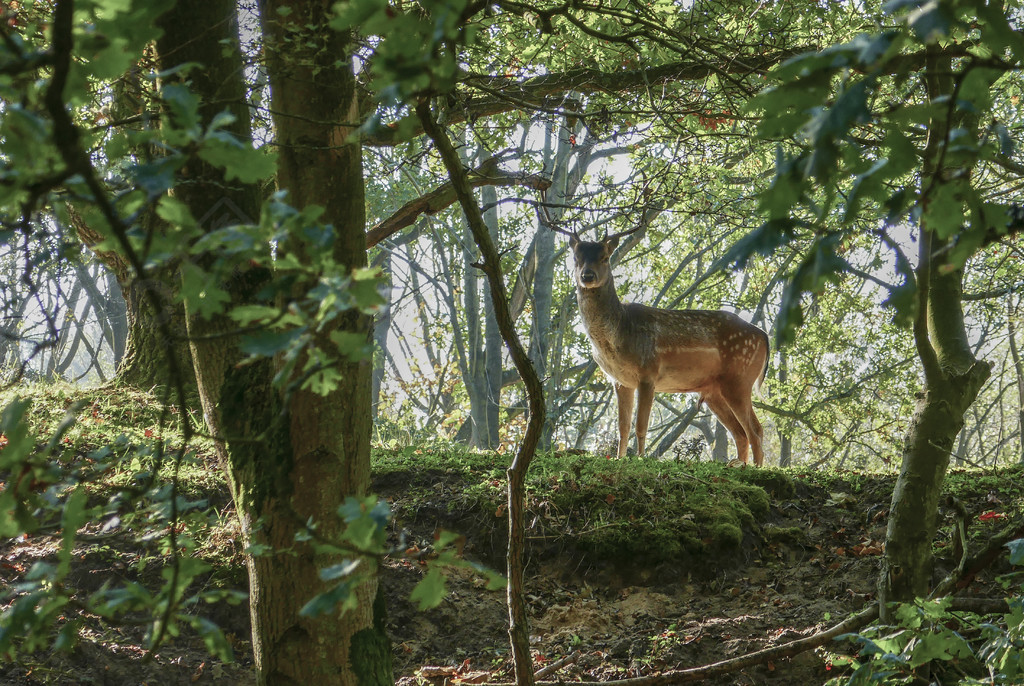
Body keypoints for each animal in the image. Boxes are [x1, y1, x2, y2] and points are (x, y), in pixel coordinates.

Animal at [561, 225, 770, 466]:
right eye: (576, 258)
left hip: (739, 378)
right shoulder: (620, 380)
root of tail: (764, 336)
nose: (587, 276)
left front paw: (641, 459)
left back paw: (755, 467)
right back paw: (738, 465)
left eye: (605, 257)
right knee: (740, 433)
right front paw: (620, 459)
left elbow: (641, 425)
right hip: (714, 391)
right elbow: (623, 427)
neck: (618, 335)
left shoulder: (648, 371)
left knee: (755, 430)